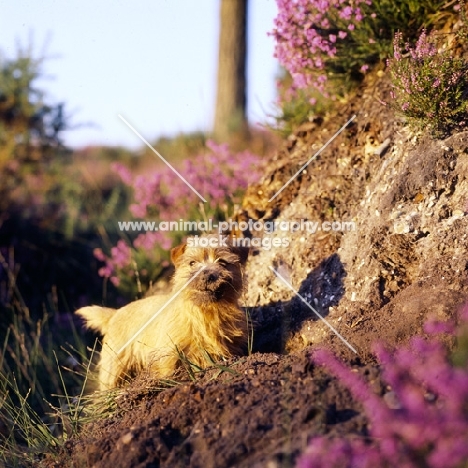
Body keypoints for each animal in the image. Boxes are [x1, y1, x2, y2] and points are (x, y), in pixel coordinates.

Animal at [76, 236, 249, 390]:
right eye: (192, 263)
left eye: (222, 262)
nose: (208, 275)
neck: (204, 312)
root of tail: (114, 314)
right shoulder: (167, 355)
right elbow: (168, 372)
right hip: (114, 367)